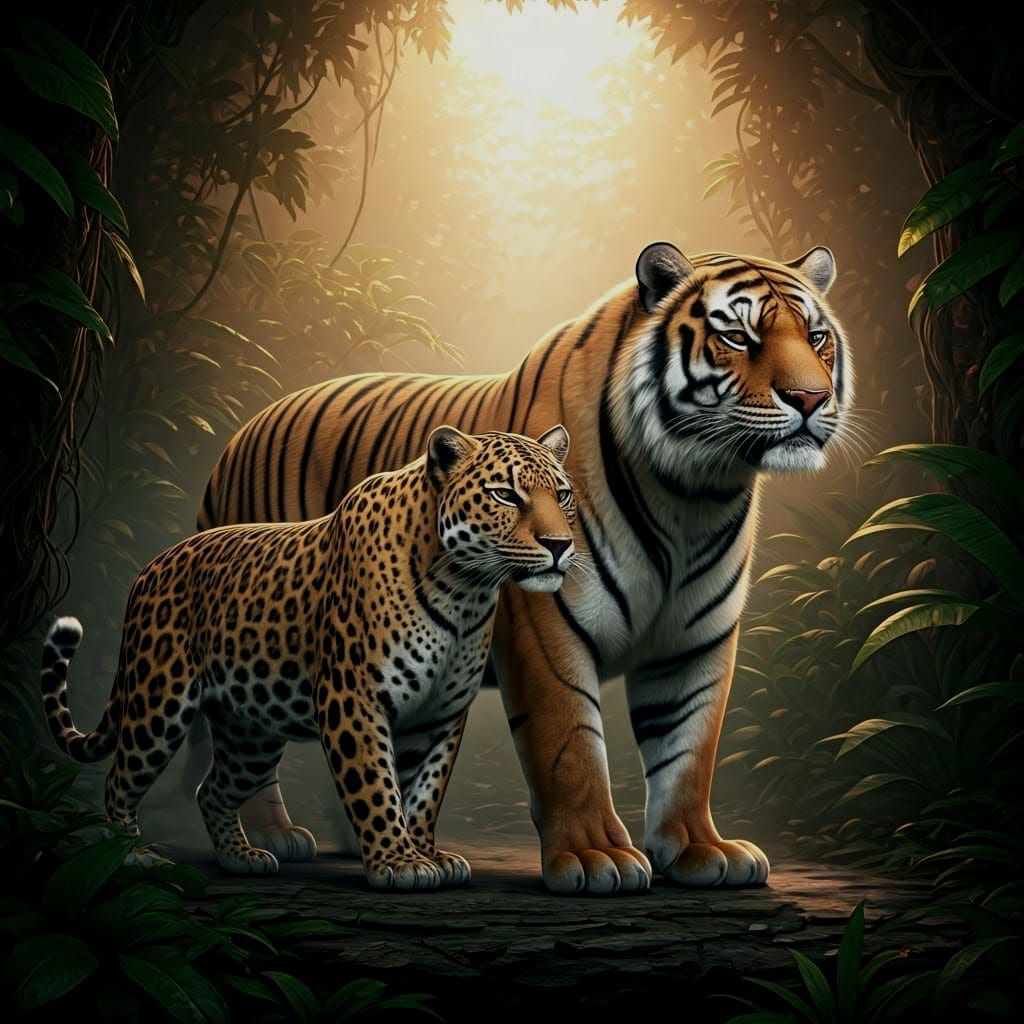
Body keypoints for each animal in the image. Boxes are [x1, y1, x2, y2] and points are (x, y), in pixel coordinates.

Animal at [40, 424, 575, 891]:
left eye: (564, 495)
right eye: (505, 494)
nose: (560, 544)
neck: (464, 589)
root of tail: (148, 568)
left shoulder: (439, 715)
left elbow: (424, 792)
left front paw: (425, 853)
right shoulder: (353, 697)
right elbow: (376, 785)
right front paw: (398, 863)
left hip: (250, 732)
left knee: (211, 790)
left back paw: (241, 858)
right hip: (158, 704)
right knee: (119, 780)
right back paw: (130, 856)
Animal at [194, 241, 850, 894]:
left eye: (816, 336)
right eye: (738, 336)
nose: (812, 399)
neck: (693, 494)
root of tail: (235, 439)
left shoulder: (694, 641)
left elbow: (687, 750)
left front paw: (701, 849)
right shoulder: (544, 626)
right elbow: (571, 748)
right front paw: (597, 857)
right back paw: (278, 837)